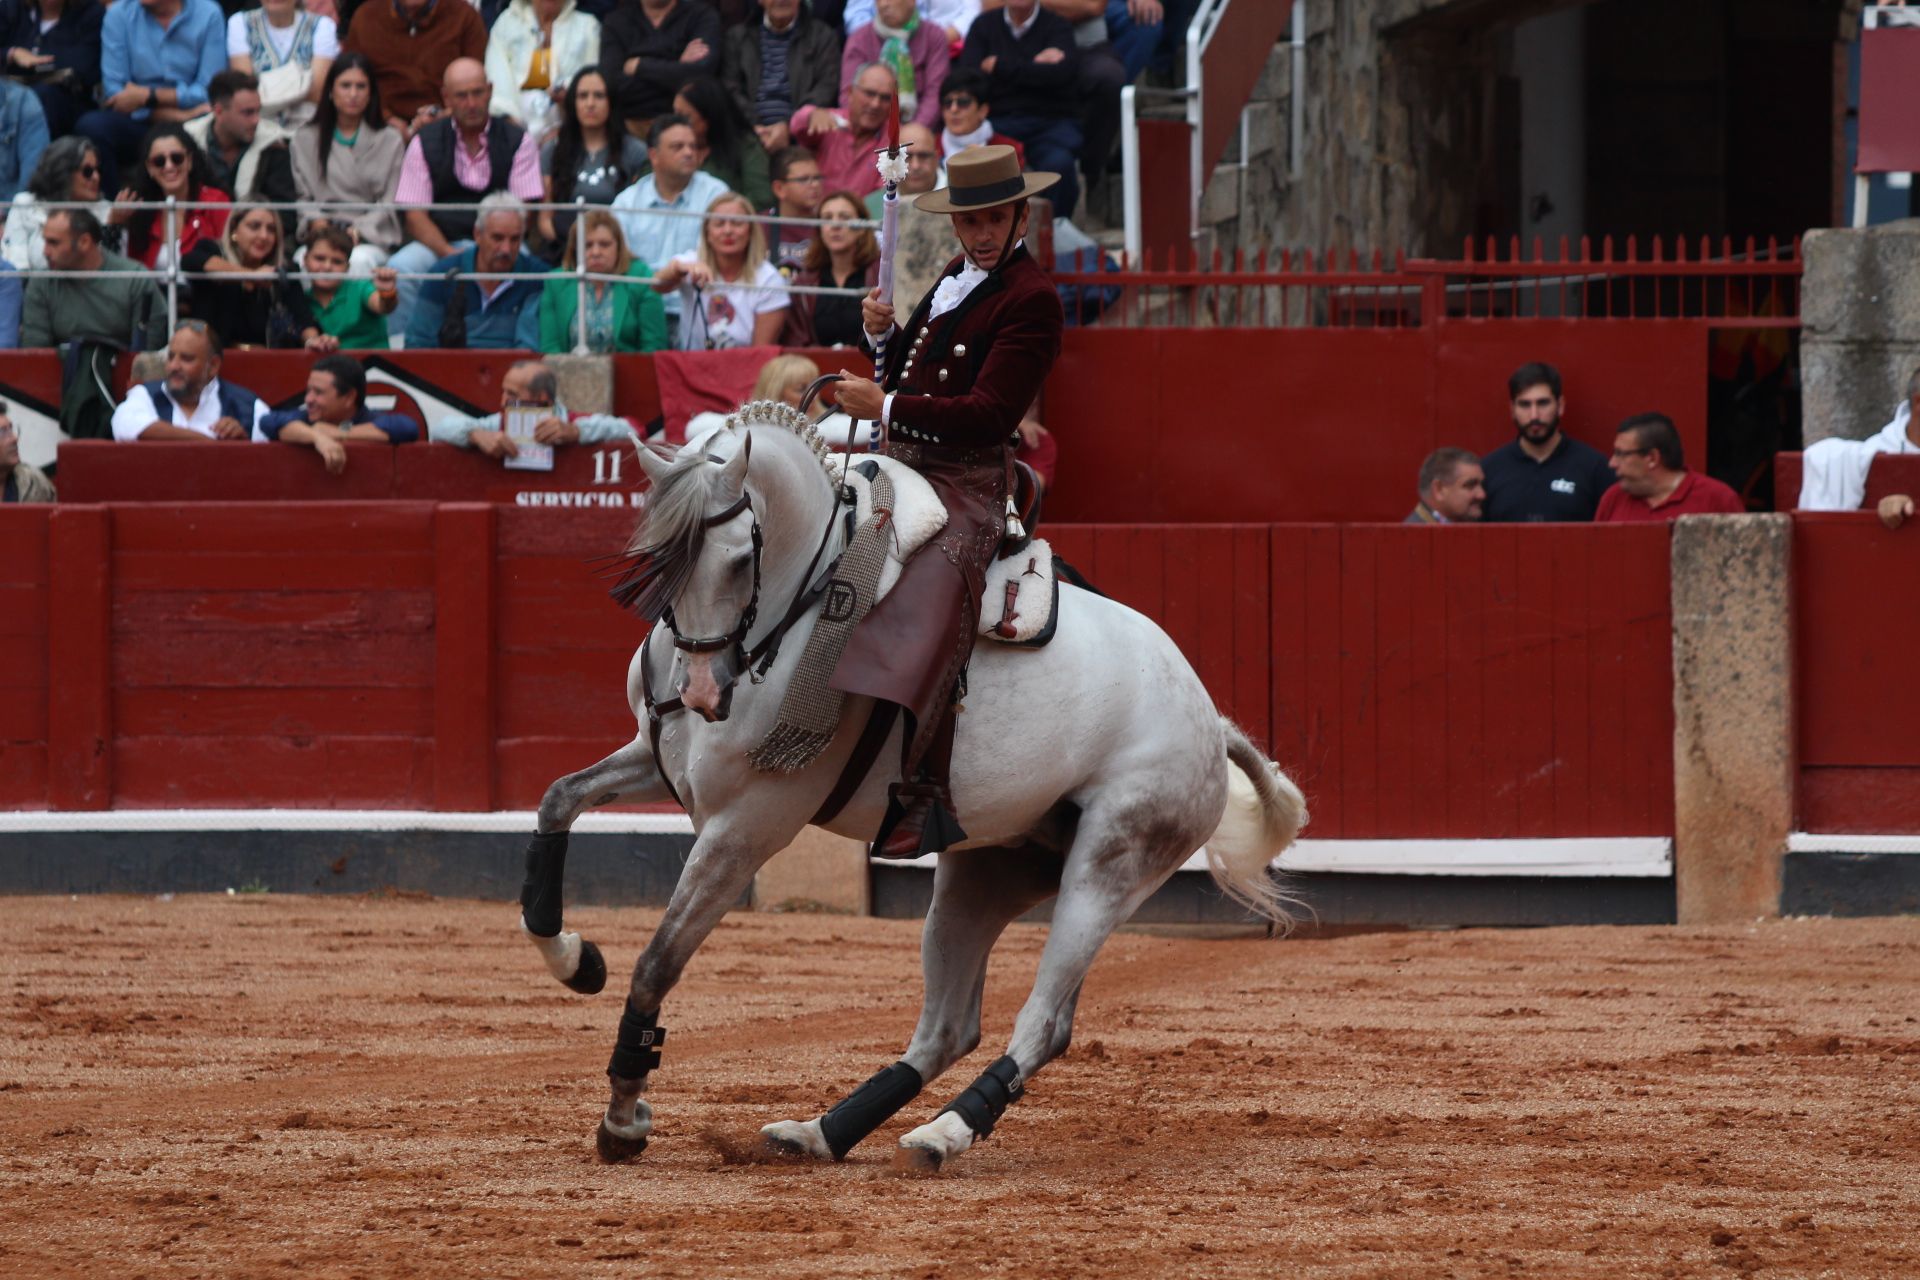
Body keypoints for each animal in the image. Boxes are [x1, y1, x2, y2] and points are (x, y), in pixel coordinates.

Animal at [522, 401, 1305, 1174]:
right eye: (656, 554)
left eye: (743, 559)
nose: (703, 693)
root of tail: (1209, 719)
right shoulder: (655, 760)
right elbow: (557, 797)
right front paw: (575, 960)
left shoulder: (749, 823)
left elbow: (657, 962)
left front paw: (624, 1119)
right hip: (986, 869)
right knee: (949, 1025)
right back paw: (818, 1133)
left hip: (1111, 863)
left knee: (1045, 1022)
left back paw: (944, 1132)